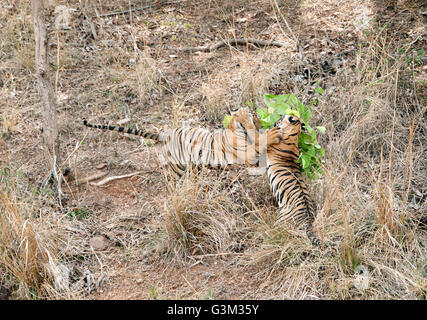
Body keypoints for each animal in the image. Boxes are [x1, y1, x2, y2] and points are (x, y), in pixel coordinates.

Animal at [83, 108, 284, 178]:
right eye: (254, 115)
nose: (259, 123)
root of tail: (163, 135)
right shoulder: (247, 153)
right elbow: (259, 140)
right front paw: (271, 133)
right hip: (177, 167)